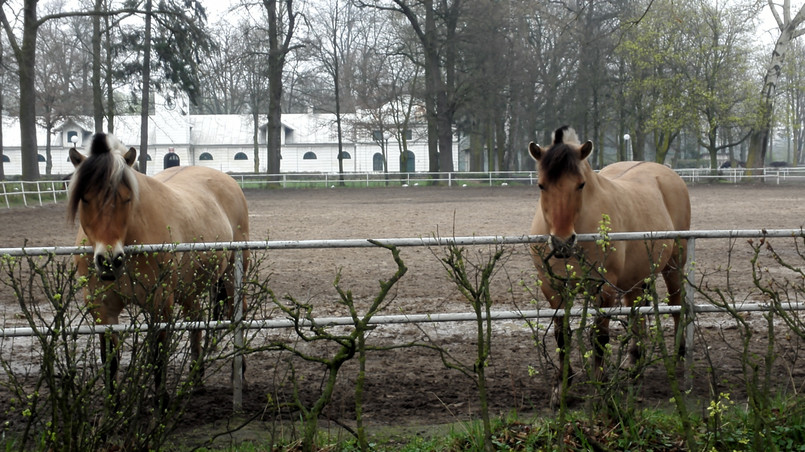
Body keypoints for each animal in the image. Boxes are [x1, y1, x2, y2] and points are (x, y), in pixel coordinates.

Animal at [69, 132, 248, 404]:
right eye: (85, 198)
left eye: (126, 198)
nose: (110, 260)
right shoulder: (102, 309)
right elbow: (109, 359)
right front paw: (112, 406)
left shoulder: (160, 302)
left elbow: (158, 355)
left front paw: (161, 403)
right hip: (189, 288)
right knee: (195, 318)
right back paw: (195, 377)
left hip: (232, 275)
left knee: (239, 313)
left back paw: (239, 373)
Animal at [528, 124, 692, 402]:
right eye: (541, 185)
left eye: (581, 185)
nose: (562, 242)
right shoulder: (552, 287)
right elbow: (562, 337)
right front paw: (561, 389)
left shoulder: (603, 288)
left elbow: (599, 337)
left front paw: (600, 387)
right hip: (634, 280)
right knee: (637, 315)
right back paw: (634, 365)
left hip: (673, 266)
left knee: (677, 306)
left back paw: (679, 362)